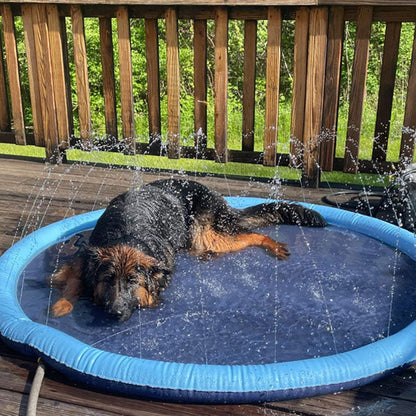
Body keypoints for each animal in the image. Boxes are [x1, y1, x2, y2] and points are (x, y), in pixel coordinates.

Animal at [50, 180, 326, 322]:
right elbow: (74, 279)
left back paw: (273, 245)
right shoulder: (84, 258)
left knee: (250, 236)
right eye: (107, 280)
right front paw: (62, 304)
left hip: (209, 234)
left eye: (133, 281)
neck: (127, 236)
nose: (115, 313)